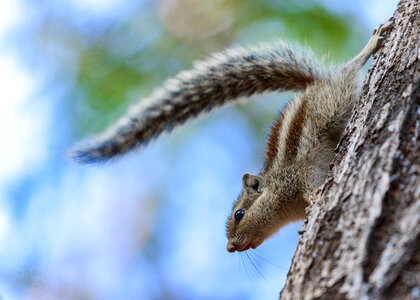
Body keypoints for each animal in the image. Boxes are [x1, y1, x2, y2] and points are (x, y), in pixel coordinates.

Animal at [69, 21, 394, 253]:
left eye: (239, 214)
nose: (230, 247)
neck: (279, 196)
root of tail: (312, 85)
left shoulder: (300, 175)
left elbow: (312, 186)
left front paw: (316, 198)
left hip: (332, 101)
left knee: (349, 70)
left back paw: (373, 42)